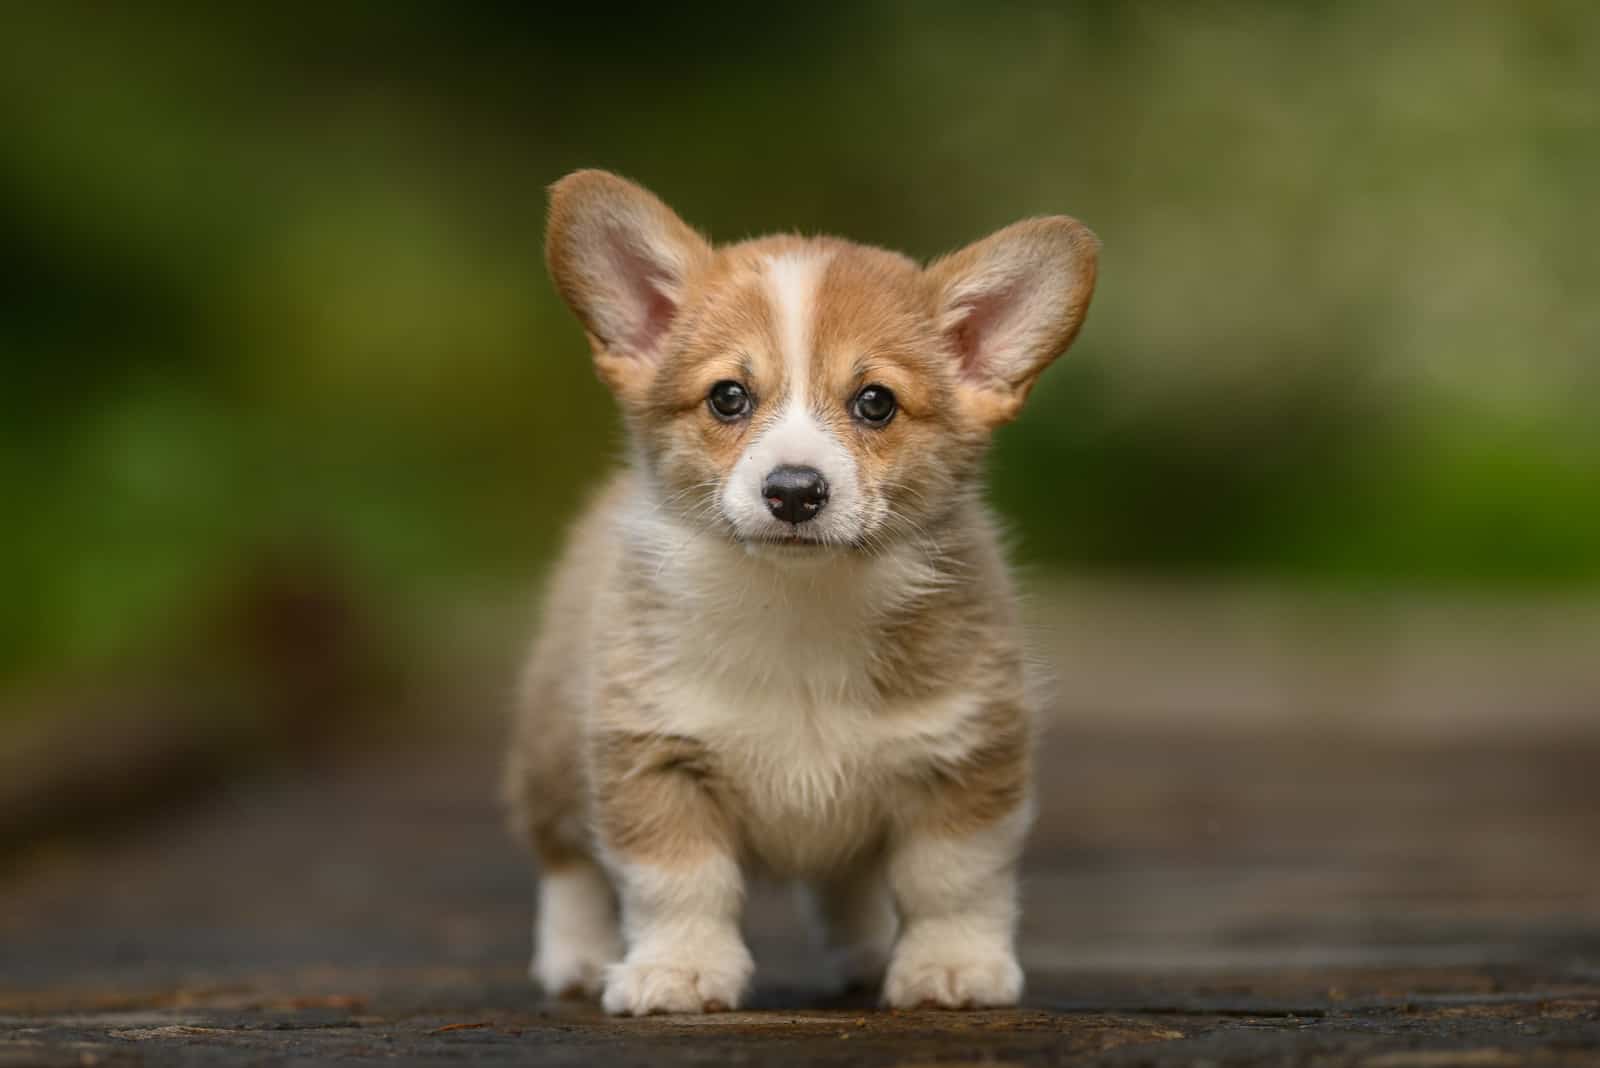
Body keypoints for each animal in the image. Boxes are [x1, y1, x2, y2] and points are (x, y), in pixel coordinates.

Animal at [508, 168, 1100, 1016]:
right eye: (728, 397)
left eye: (876, 402)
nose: (794, 492)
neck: (798, 603)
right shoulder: (653, 756)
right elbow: (679, 882)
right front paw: (679, 972)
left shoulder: (966, 756)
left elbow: (950, 880)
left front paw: (951, 969)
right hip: (551, 754)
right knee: (568, 864)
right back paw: (578, 958)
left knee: (849, 884)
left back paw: (869, 950)